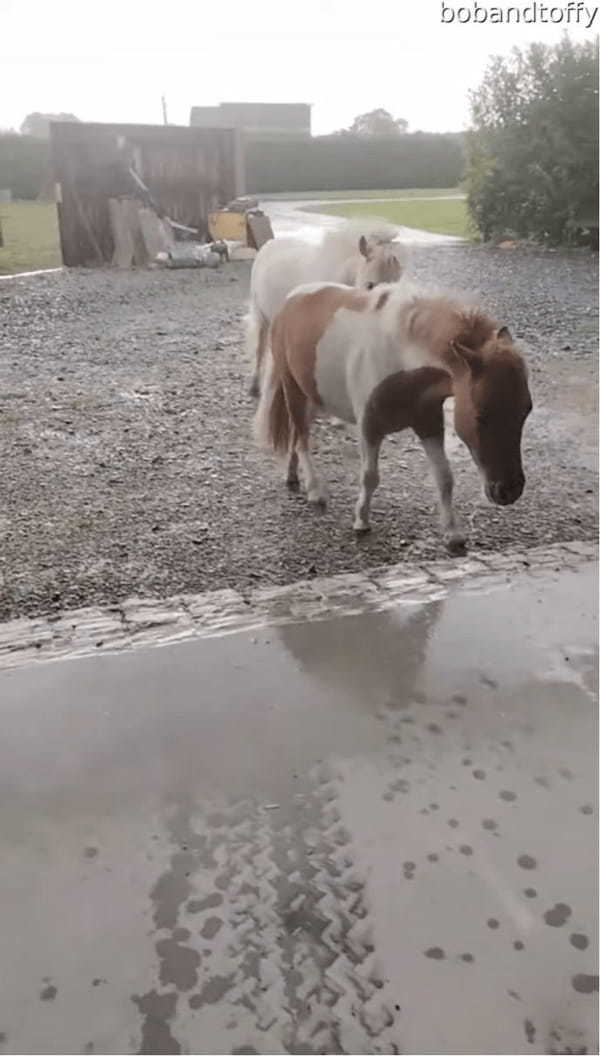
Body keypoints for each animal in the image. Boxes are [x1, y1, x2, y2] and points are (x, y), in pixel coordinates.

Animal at [255, 278, 532, 553]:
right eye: (480, 416)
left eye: (525, 411)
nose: (509, 491)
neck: (399, 356)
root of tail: (293, 297)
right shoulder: (369, 428)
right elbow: (370, 477)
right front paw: (361, 521)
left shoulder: (429, 425)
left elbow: (444, 478)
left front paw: (453, 534)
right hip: (293, 390)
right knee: (302, 439)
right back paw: (315, 490)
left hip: (313, 397)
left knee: (296, 435)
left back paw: (292, 476)